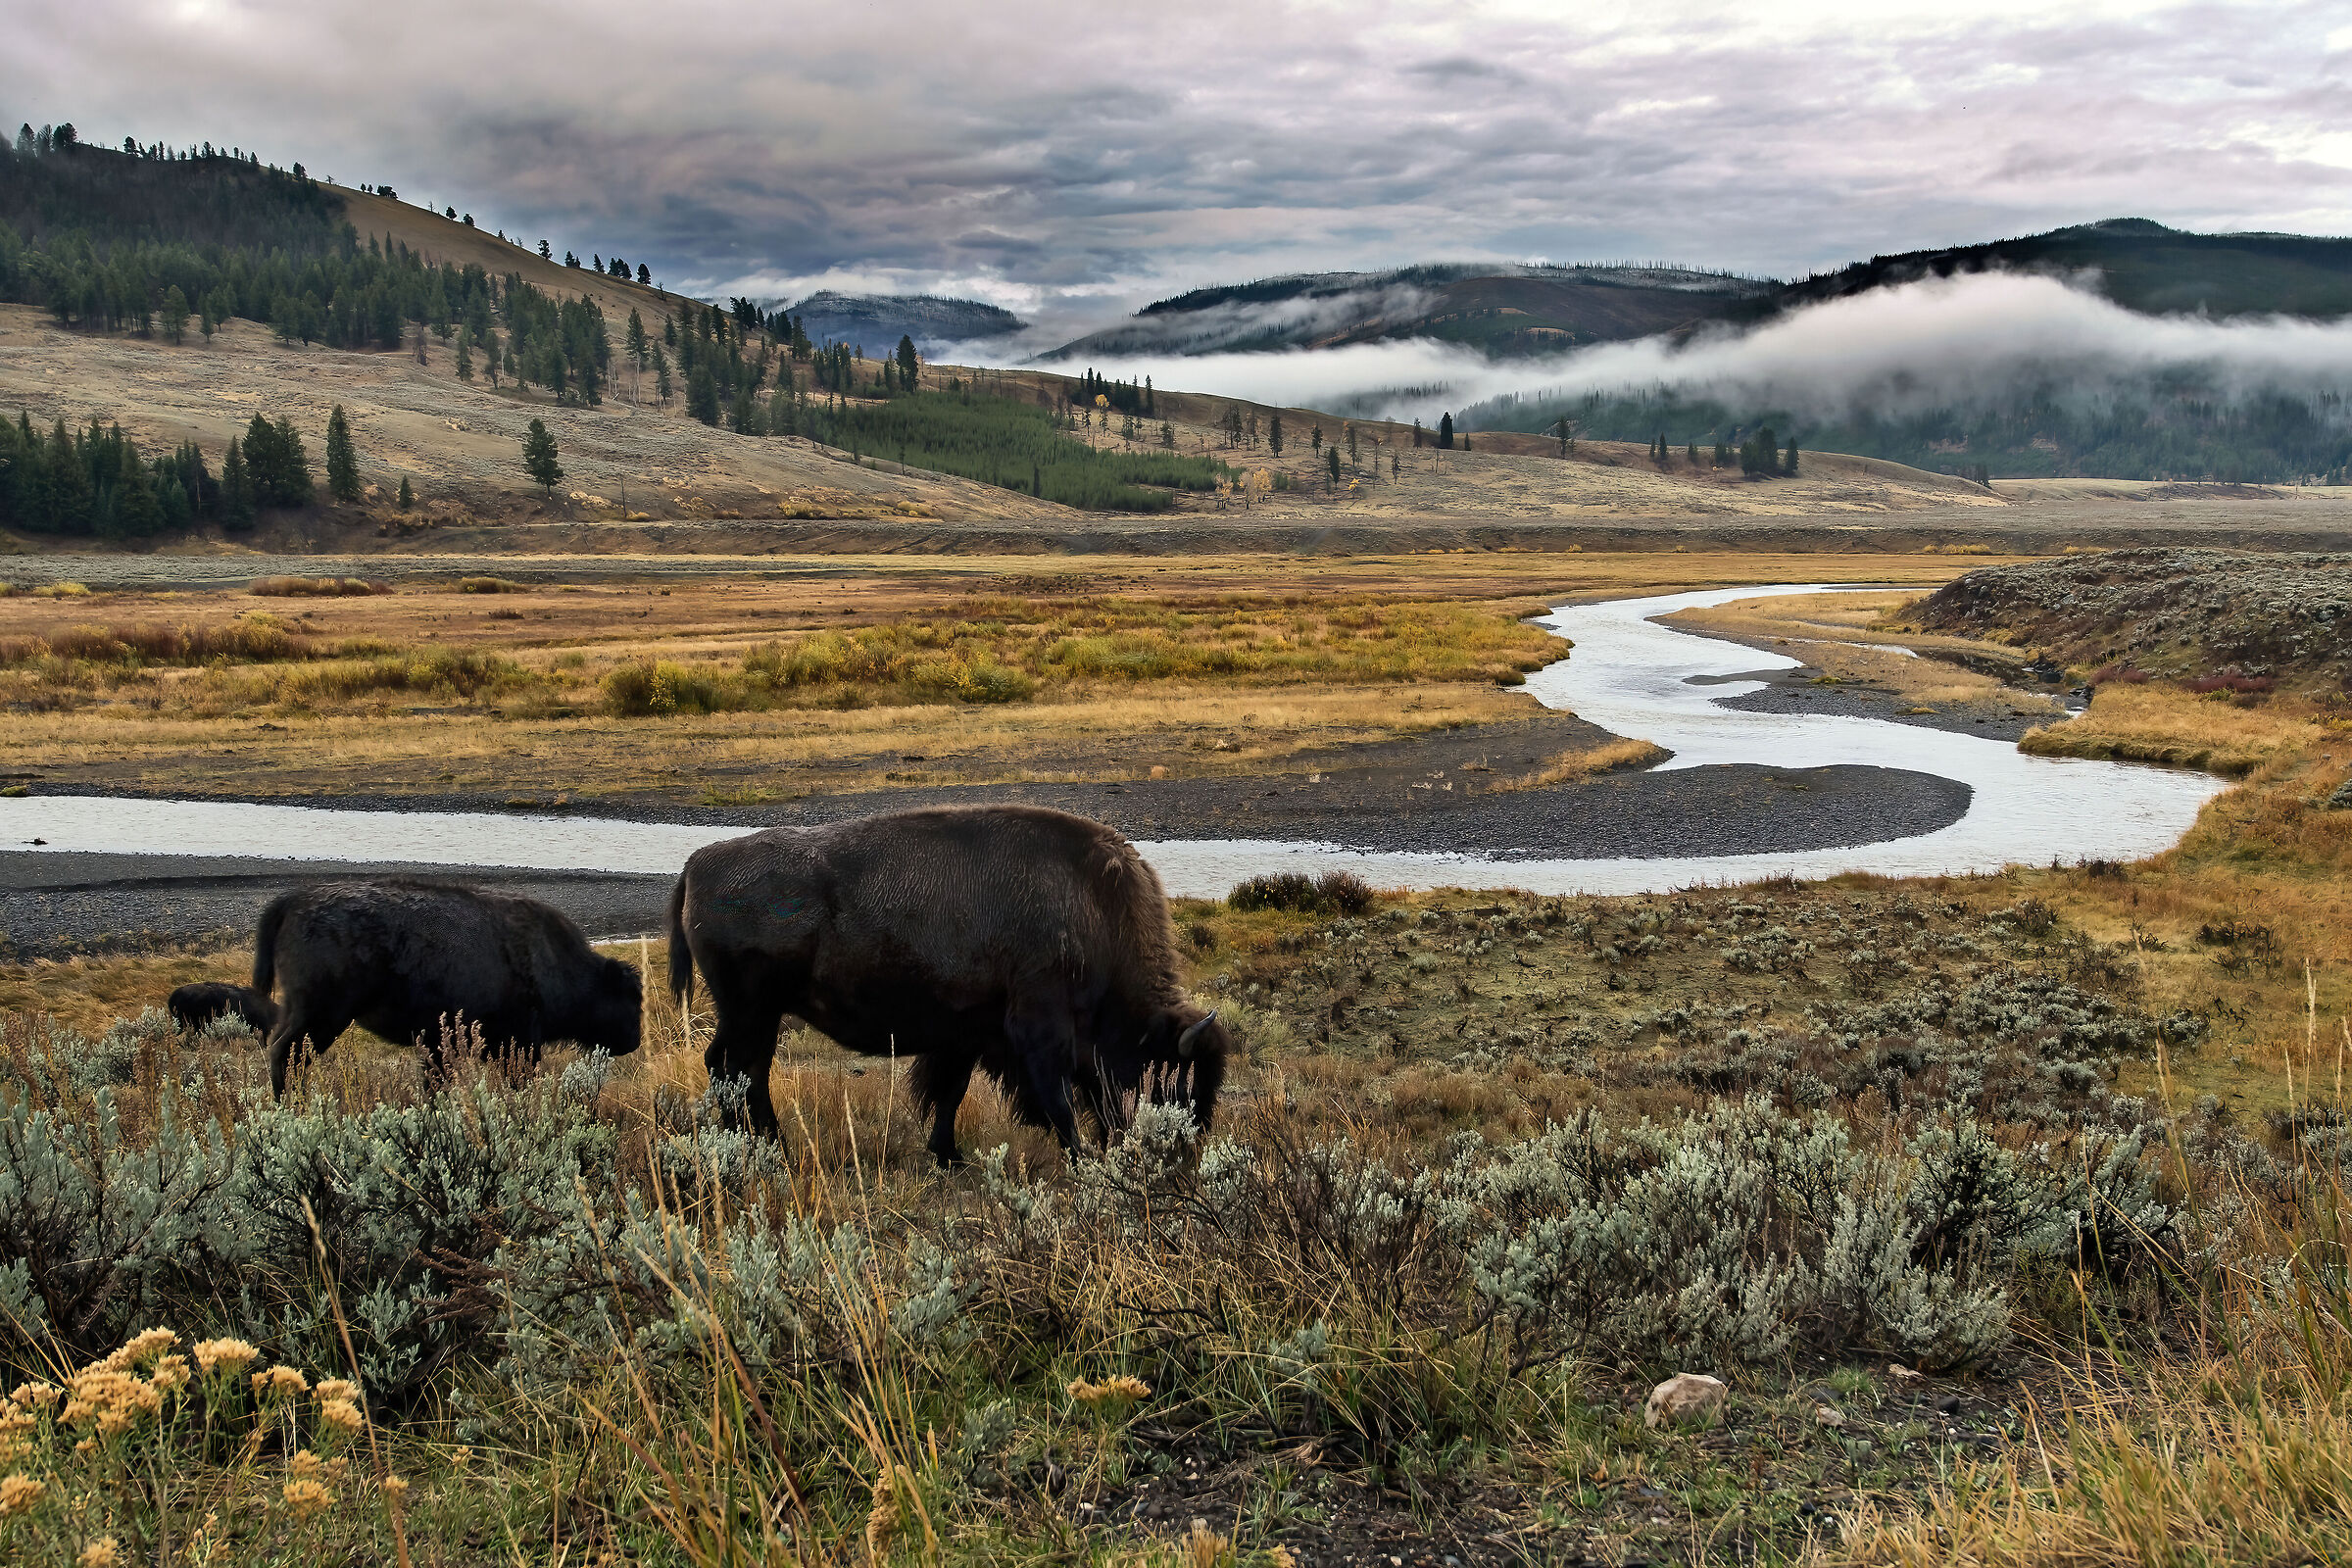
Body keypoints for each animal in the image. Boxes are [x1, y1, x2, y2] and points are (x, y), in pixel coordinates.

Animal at [253, 879, 643, 1094]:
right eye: (630, 999)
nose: (635, 1040)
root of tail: (294, 901)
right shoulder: (520, 1043)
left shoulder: (440, 1047)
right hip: (322, 1015)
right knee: (286, 1054)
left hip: (301, 1011)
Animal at [667, 804, 1229, 1163]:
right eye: (1175, 1081)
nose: (1186, 1151)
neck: (1091, 908)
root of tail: (696, 863)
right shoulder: (1039, 1031)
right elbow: (1057, 1101)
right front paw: (1082, 1160)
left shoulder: (967, 1036)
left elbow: (950, 1093)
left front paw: (948, 1155)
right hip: (753, 1014)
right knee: (743, 1072)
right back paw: (770, 1148)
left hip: (747, 1015)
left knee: (729, 1067)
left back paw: (754, 1144)